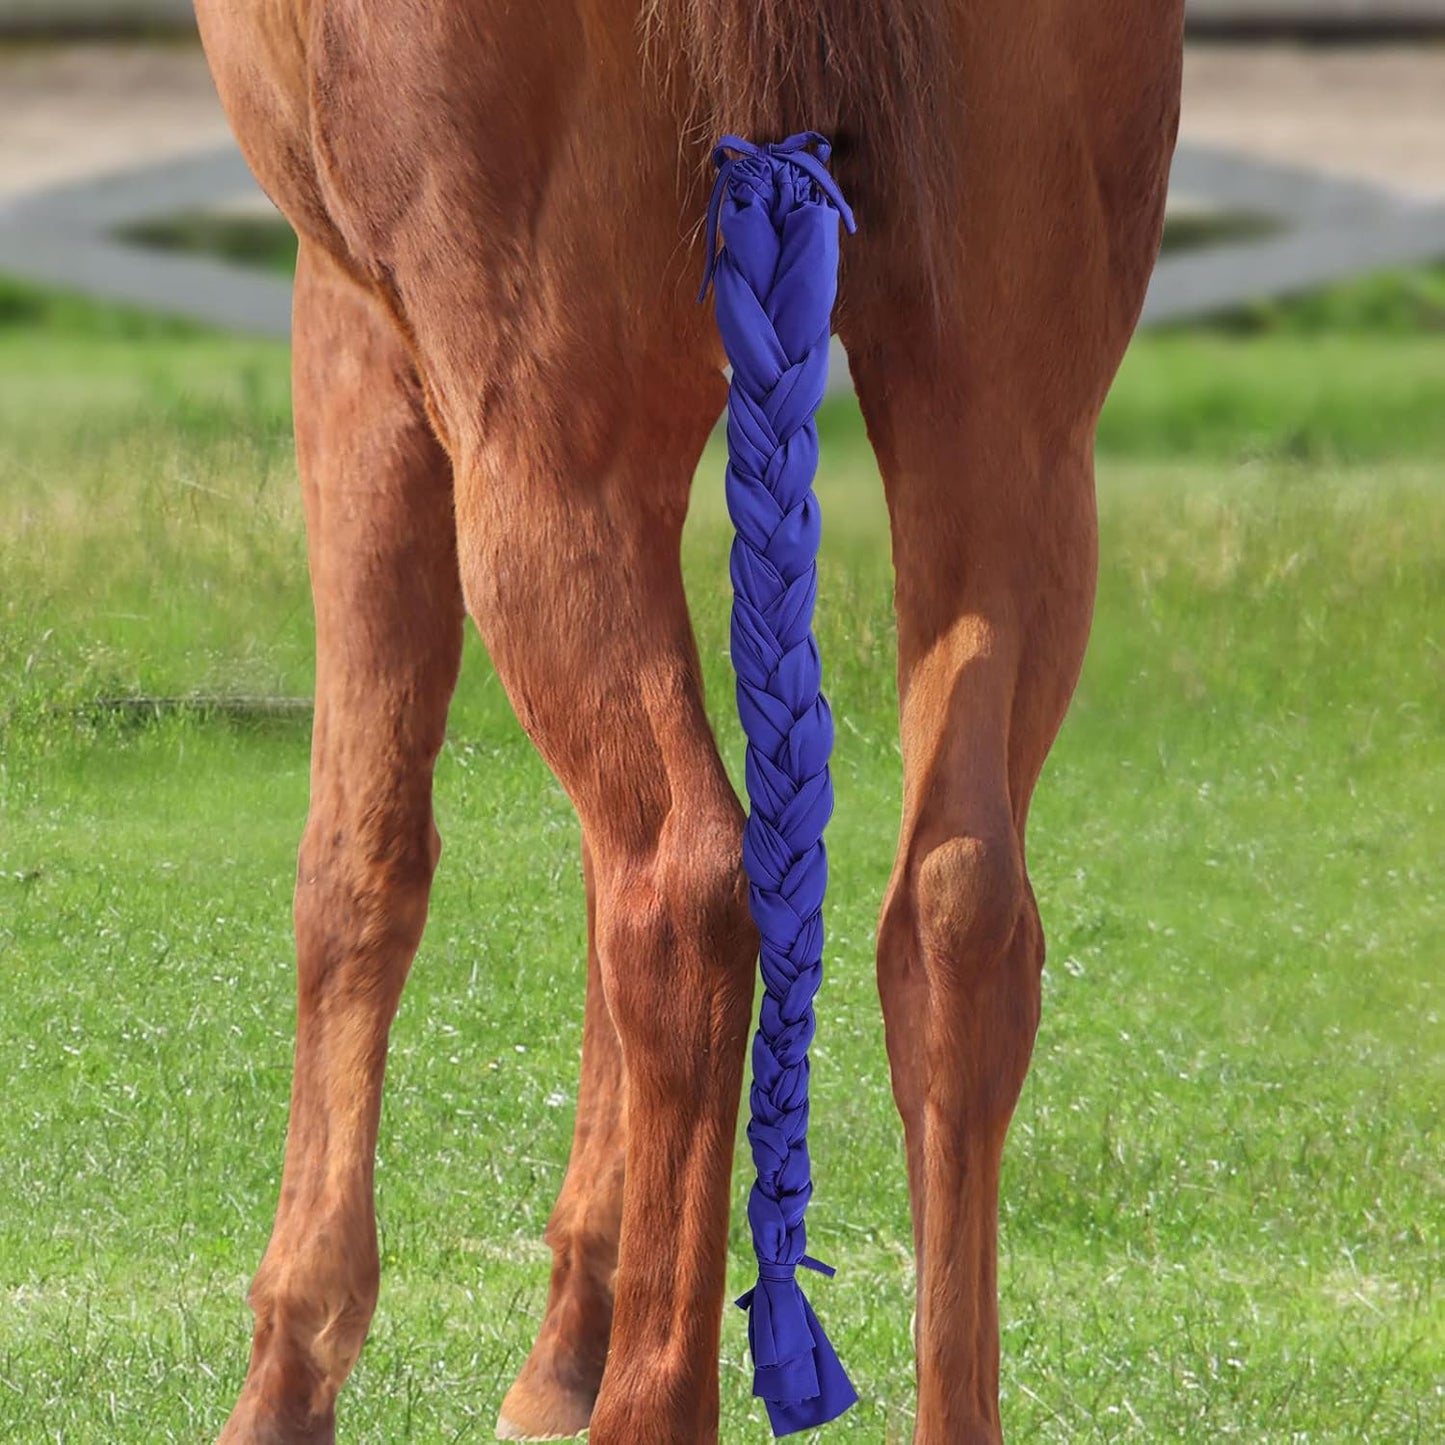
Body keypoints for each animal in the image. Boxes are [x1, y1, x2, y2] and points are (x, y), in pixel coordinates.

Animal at [192, 1, 1183, 1440]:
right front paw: (569, 1332)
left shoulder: (359, 328)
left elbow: (358, 866)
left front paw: (289, 1370)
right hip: (1013, 437)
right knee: (958, 909)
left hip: (542, 434)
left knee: (683, 884)